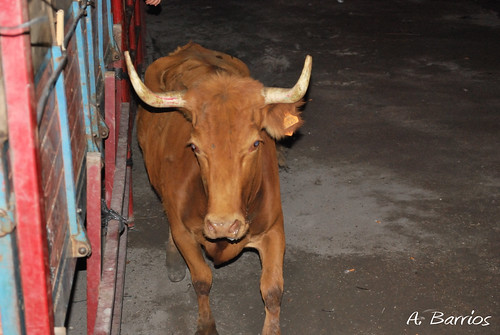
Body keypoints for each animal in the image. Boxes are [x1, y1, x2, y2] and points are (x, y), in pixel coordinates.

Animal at [124, 43, 310, 334]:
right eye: (194, 146)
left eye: (256, 143)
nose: (223, 226)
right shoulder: (185, 233)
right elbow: (202, 280)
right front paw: (206, 325)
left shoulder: (274, 230)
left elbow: (272, 290)